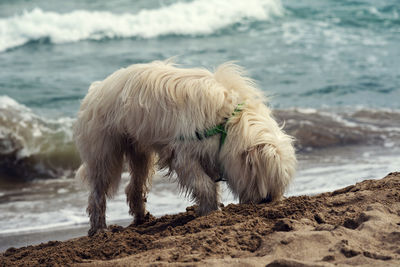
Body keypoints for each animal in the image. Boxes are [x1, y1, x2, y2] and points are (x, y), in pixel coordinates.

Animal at [73, 60, 296, 237]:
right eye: (265, 179)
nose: (267, 200)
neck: (228, 121)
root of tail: (95, 89)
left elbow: (209, 184)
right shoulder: (184, 155)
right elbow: (204, 184)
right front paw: (211, 211)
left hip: (138, 150)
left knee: (134, 186)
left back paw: (141, 217)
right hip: (104, 149)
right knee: (98, 191)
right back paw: (99, 229)